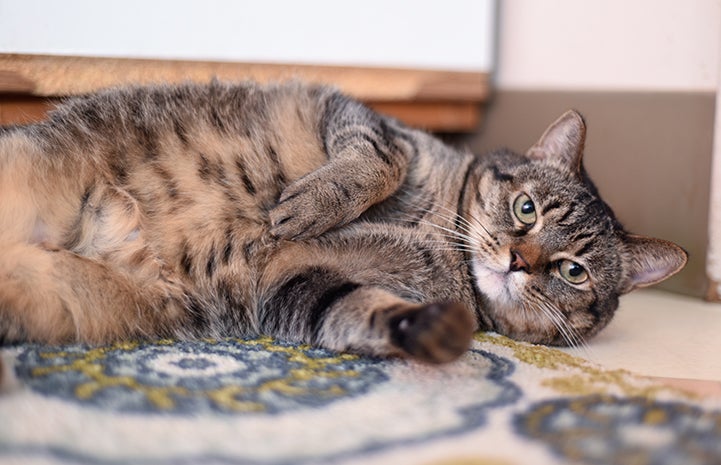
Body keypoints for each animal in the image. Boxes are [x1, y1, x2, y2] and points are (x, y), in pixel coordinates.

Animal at [0, 80, 688, 362]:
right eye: (527, 210)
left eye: (573, 272)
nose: (519, 261)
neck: (441, 239)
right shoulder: (364, 119)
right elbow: (375, 162)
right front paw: (307, 205)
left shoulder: (291, 286)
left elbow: (360, 311)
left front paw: (431, 332)